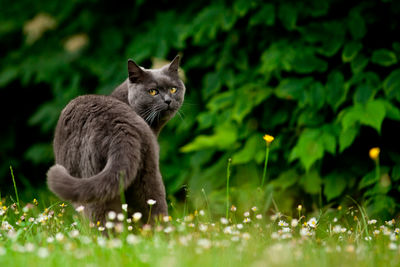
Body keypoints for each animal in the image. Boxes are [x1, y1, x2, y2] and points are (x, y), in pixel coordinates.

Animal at [47, 57, 186, 226]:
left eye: (173, 89)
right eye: (153, 91)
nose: (168, 100)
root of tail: (120, 127)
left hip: (92, 179)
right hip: (147, 172)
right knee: (153, 209)